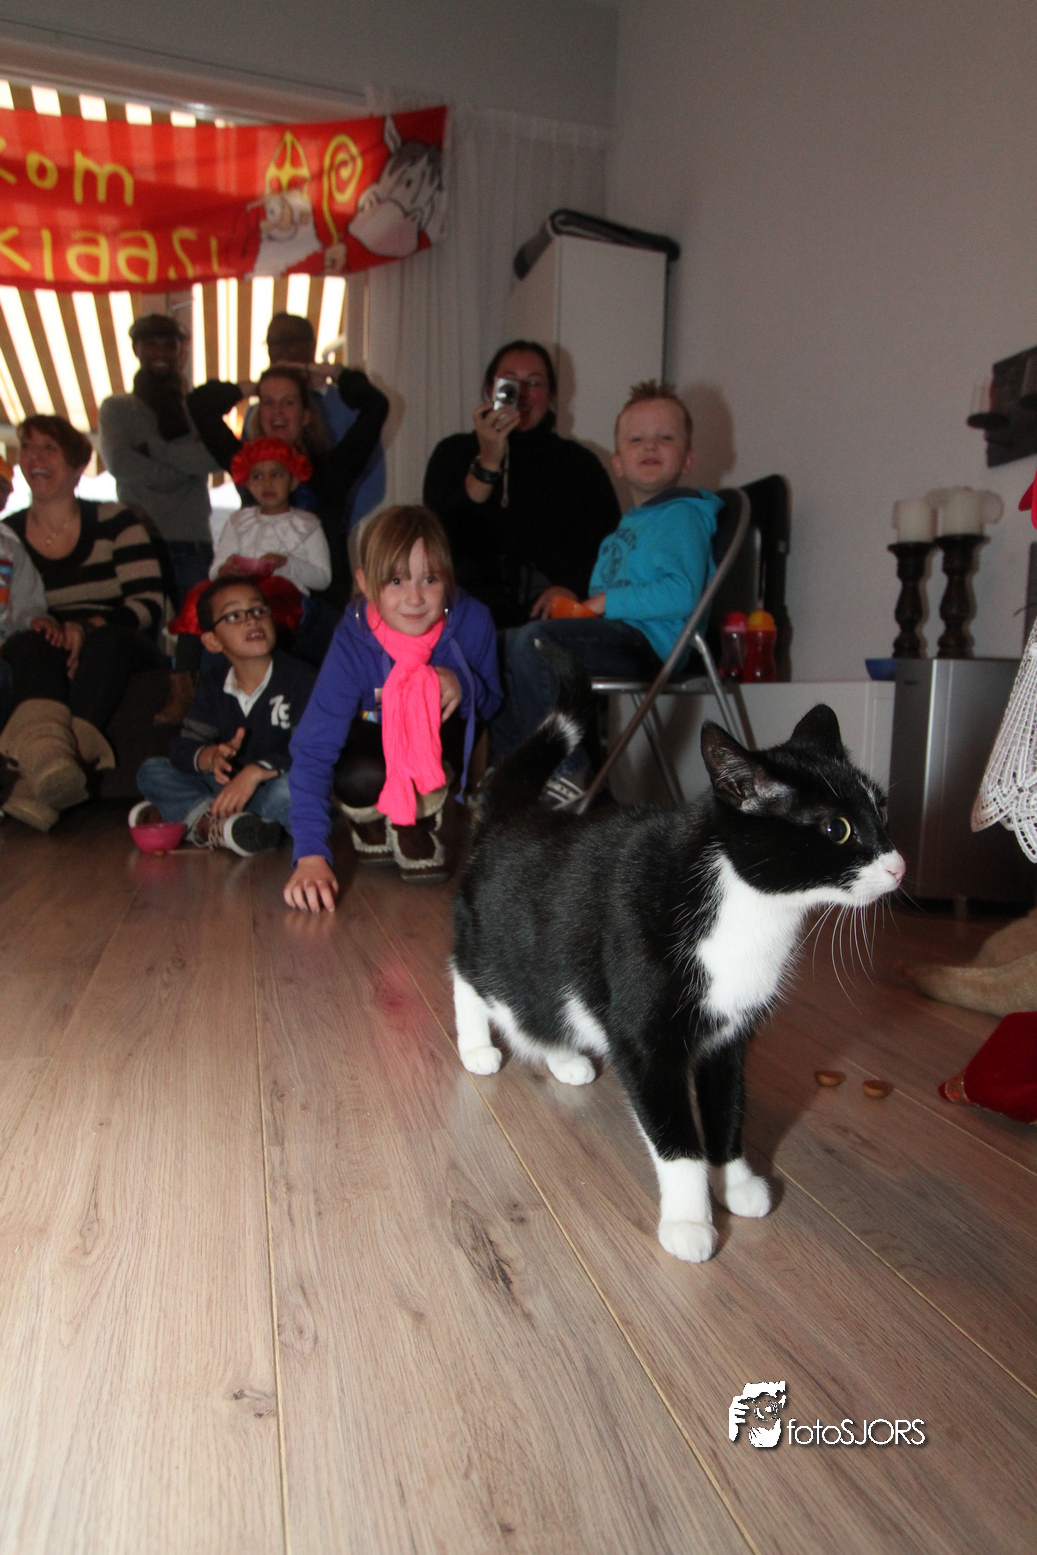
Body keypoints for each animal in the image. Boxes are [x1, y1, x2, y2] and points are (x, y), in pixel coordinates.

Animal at [451, 647, 906, 1262]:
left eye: (881, 811)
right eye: (837, 829)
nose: (898, 866)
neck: (749, 908)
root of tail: (509, 817)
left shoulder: (730, 1034)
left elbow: (727, 1108)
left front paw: (736, 1183)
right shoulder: (646, 1038)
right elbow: (675, 1135)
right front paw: (690, 1221)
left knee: (546, 1004)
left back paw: (564, 1058)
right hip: (493, 939)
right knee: (471, 978)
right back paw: (477, 1046)